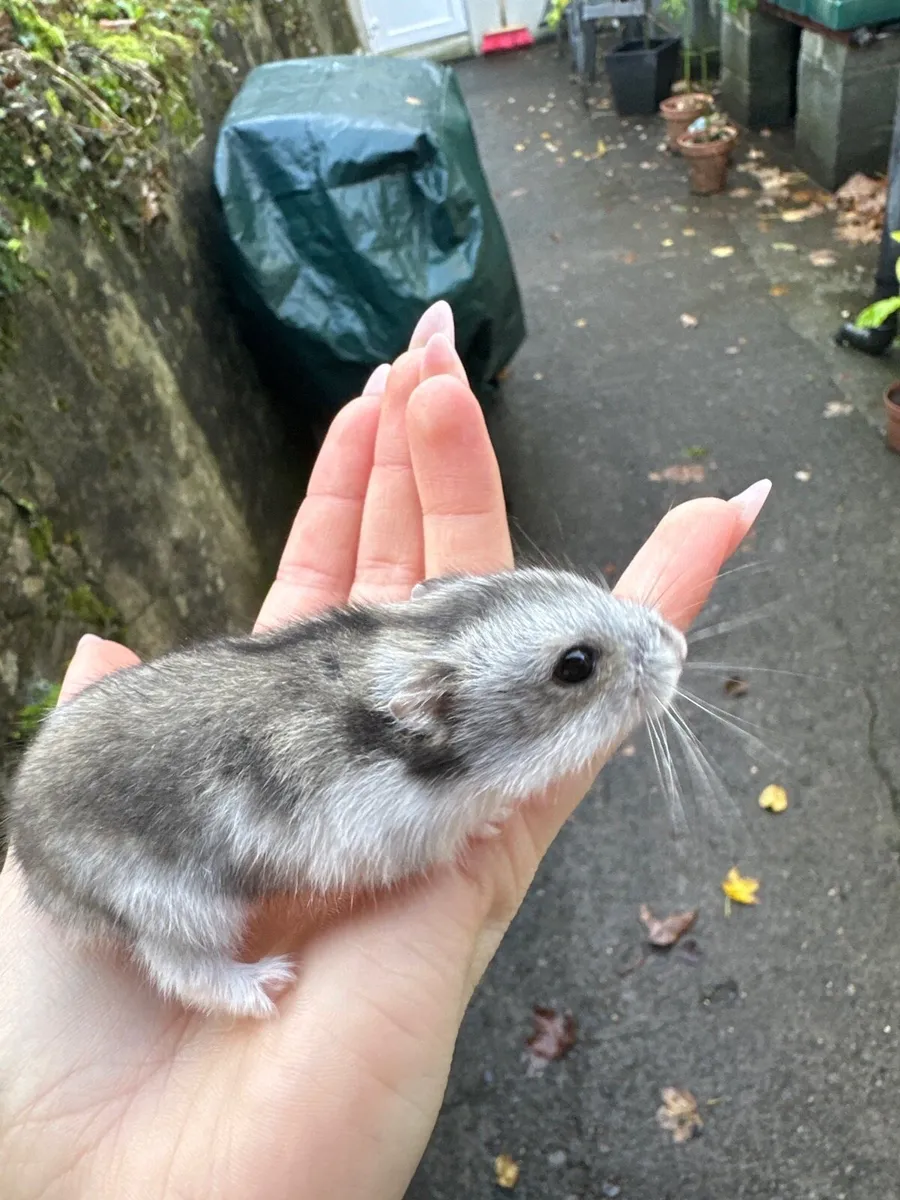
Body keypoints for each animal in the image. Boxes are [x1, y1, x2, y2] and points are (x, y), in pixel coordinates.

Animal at [7, 568, 686, 1019]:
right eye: (576, 665)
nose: (678, 644)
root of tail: (28, 855)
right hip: (175, 907)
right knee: (183, 972)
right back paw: (268, 983)